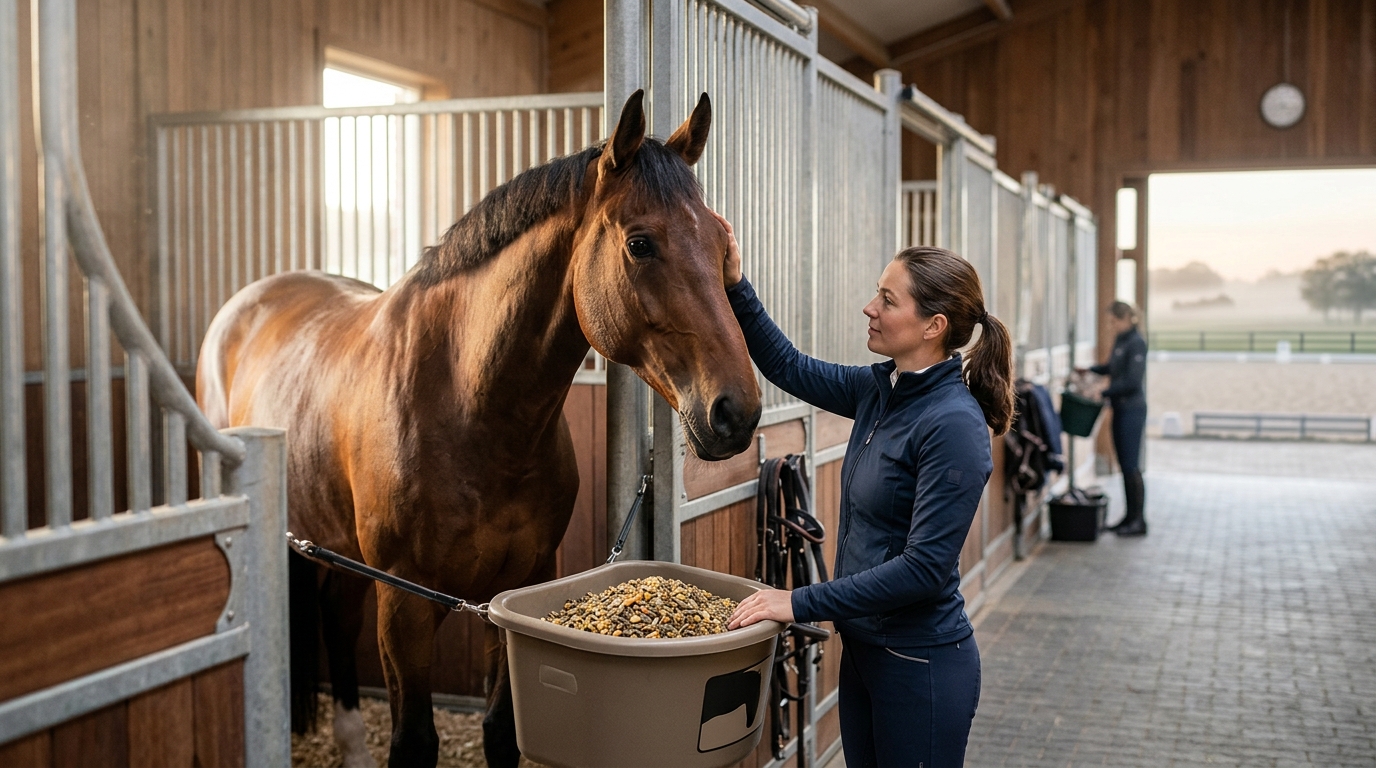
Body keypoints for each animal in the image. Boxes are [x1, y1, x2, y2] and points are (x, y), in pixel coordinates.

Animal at [196, 90, 762, 767]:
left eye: (721, 241)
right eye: (641, 244)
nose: (737, 412)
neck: (470, 413)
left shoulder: (517, 586)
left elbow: (500, 729)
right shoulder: (406, 603)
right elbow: (414, 740)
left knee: (336, 618)